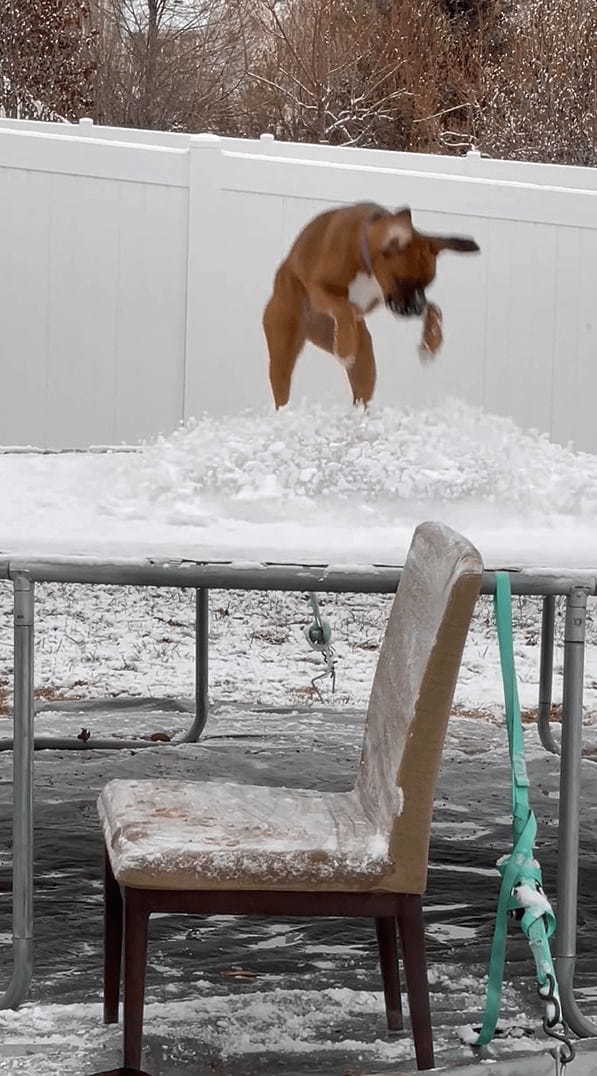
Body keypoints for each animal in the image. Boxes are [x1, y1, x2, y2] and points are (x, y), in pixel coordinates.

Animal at [263, 202, 479, 406]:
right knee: (282, 389)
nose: (416, 309)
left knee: (361, 395)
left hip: (363, 361)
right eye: (402, 280)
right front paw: (345, 346)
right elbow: (344, 307)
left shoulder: (388, 300)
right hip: (283, 351)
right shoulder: (319, 289)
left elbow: (434, 308)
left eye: (428, 283)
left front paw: (431, 341)